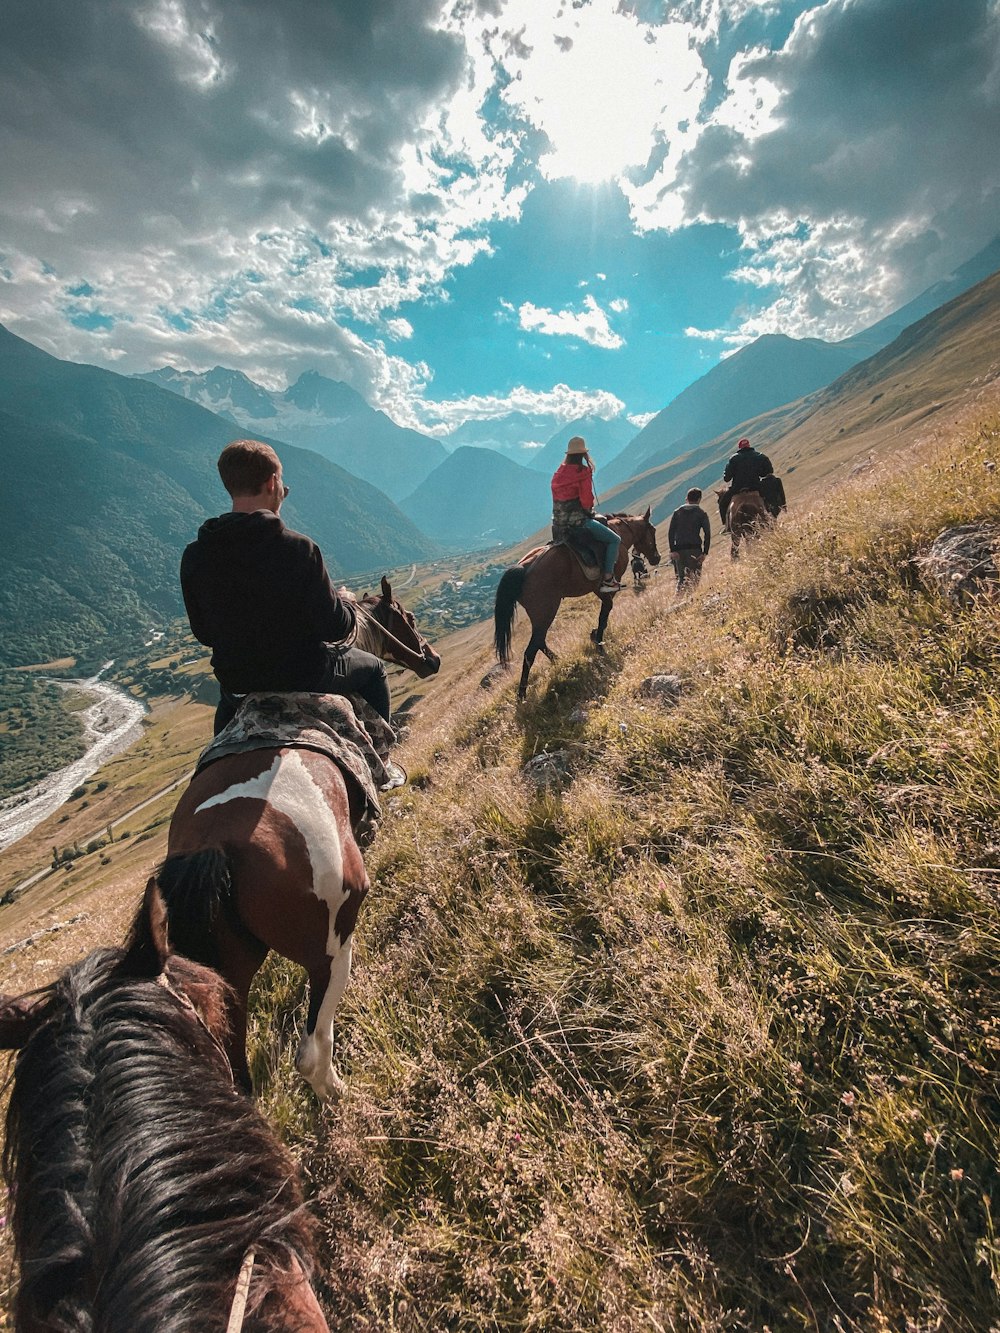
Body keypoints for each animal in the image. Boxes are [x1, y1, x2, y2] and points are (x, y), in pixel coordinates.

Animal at [132, 578, 437, 1098]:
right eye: (408, 617)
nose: (431, 659)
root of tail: (214, 846)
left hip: (228, 978)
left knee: (238, 1073)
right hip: (331, 948)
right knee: (311, 1049)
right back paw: (345, 1098)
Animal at [496, 503, 666, 703]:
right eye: (652, 531)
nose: (656, 558)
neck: (619, 533)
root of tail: (522, 568)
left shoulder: (596, 588)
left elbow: (605, 610)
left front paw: (594, 636)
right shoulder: (607, 584)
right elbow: (606, 611)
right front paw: (599, 642)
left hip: (541, 615)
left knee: (539, 641)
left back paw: (559, 661)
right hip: (546, 612)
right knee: (531, 650)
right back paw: (522, 693)